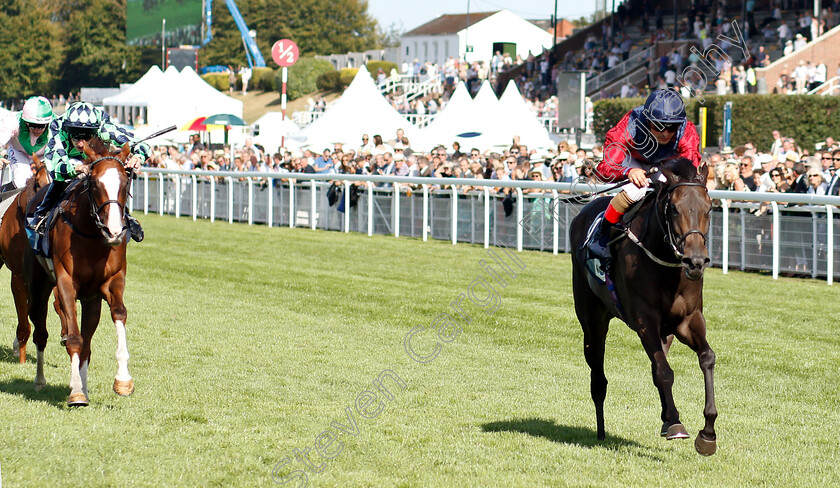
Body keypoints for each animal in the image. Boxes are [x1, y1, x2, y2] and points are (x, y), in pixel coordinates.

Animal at [4, 139, 135, 406]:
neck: (92, 237)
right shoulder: (65, 282)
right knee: (40, 332)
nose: (115, 231)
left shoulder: (111, 281)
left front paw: (123, 380)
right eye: (94, 183)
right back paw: (40, 380)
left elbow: (119, 314)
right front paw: (75, 392)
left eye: (125, 181)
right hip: (36, 285)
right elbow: (73, 337)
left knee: (87, 342)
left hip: (90, 299)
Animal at [572, 158, 716, 456]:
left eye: (709, 207)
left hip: (665, 332)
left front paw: (708, 433)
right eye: (674, 208)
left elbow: (706, 358)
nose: (696, 261)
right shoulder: (644, 320)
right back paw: (601, 431)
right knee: (598, 377)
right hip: (592, 321)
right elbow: (664, 372)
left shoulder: (688, 320)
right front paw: (676, 424)